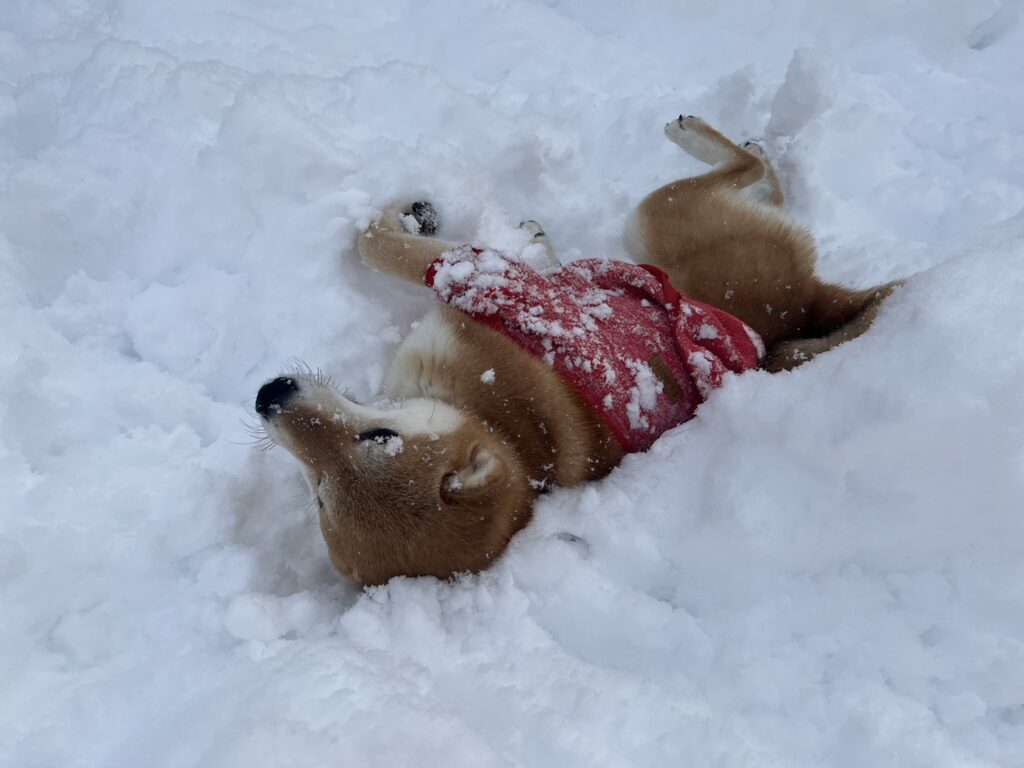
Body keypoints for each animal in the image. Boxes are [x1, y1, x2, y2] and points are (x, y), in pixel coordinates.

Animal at [256, 115, 897, 586]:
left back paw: (698, 134)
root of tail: (805, 303)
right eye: (319, 497)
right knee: (768, 185)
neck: (505, 424)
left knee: (749, 170)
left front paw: (405, 218)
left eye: (379, 439)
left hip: (655, 219)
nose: (269, 394)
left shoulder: (472, 273)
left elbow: (377, 243)